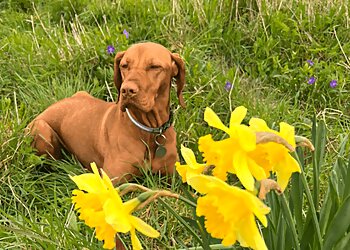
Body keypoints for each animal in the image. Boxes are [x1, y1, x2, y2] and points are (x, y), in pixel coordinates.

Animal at [29, 42, 186, 184]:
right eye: (124, 65)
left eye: (155, 67)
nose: (127, 90)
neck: (149, 131)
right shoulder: (112, 183)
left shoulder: (175, 179)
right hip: (41, 128)